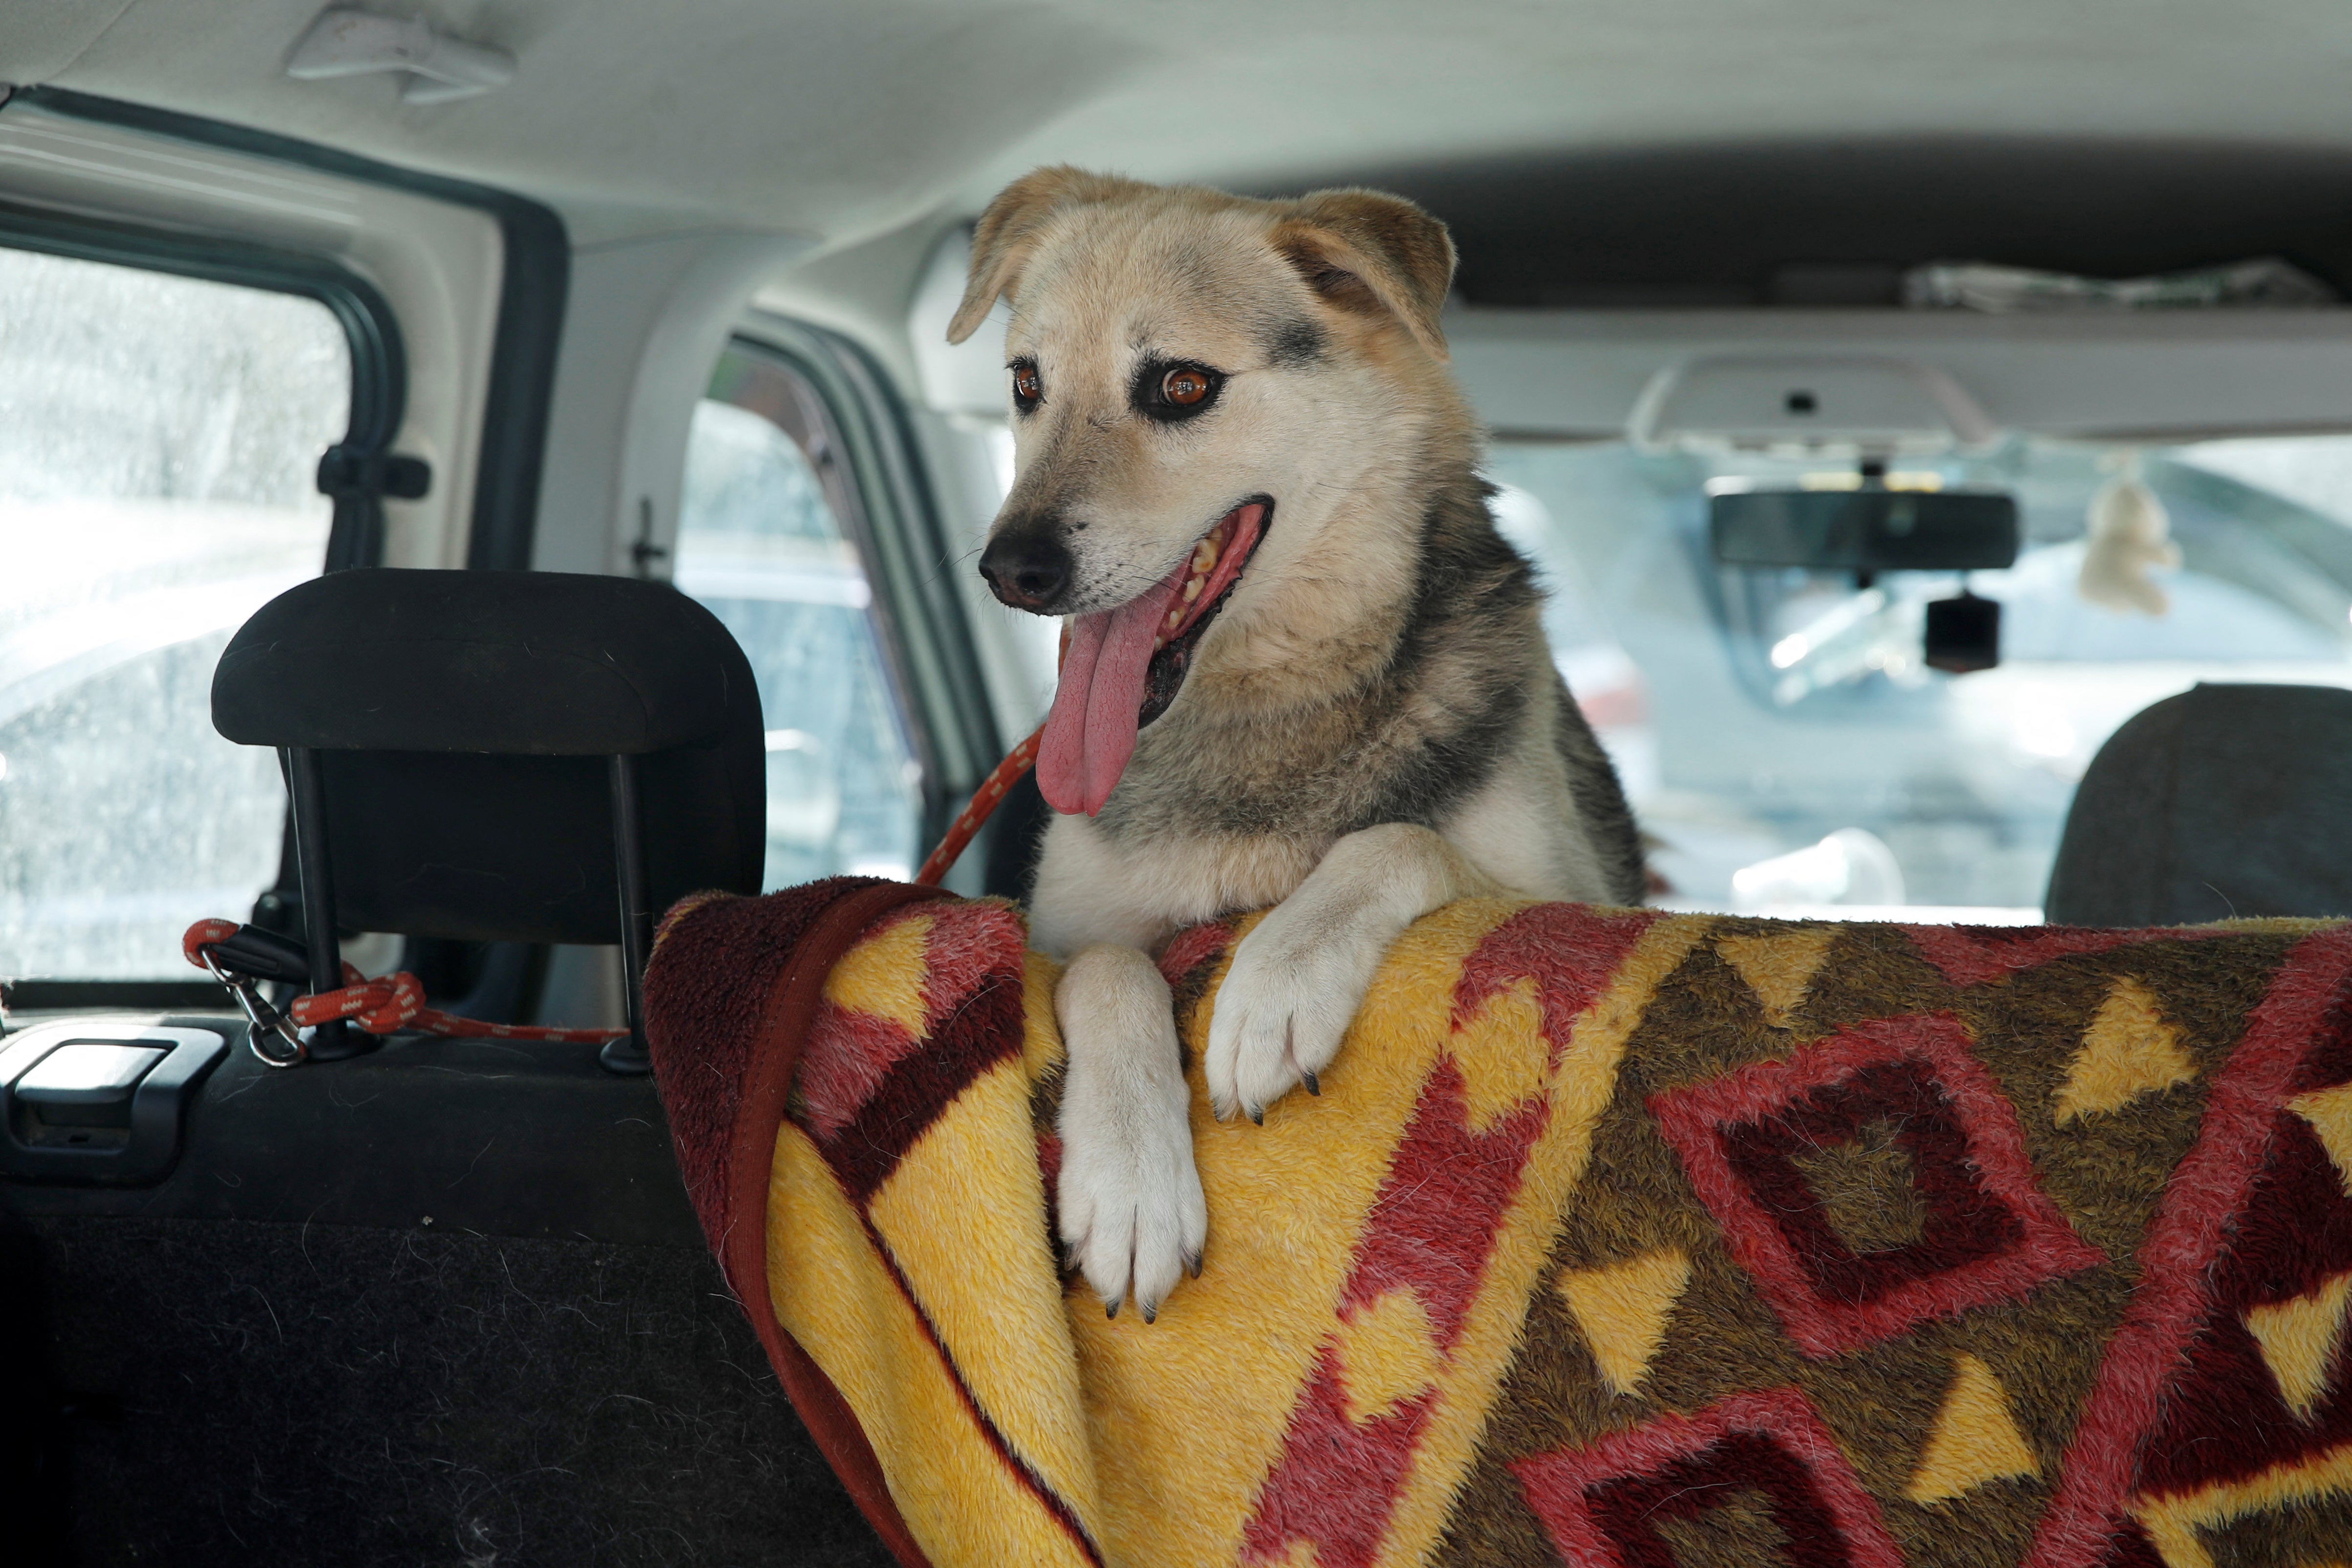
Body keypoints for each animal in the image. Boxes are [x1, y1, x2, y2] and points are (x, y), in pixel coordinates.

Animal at [945, 166, 1646, 1326]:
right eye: (1026, 382)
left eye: (1181, 386)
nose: (1010, 570)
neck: (1266, 714)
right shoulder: (1064, 935)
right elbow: (1106, 967)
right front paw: (1132, 1186)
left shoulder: (1570, 895)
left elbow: (1395, 838)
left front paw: (1276, 978)